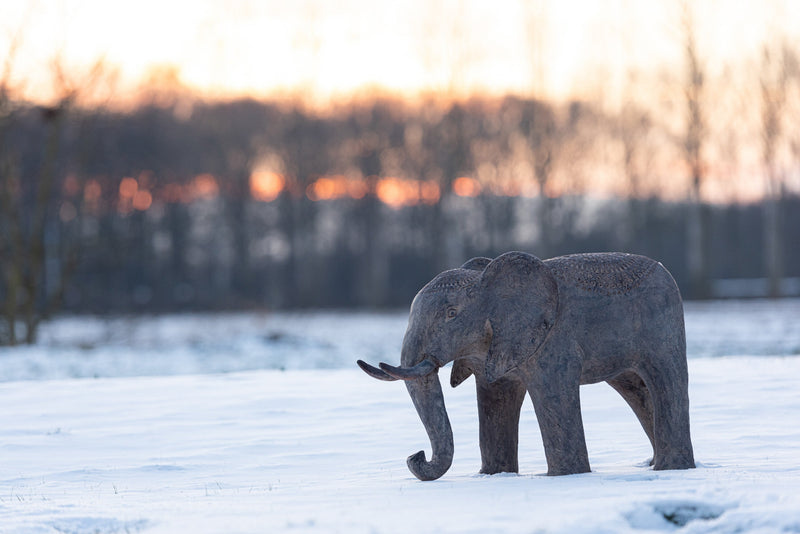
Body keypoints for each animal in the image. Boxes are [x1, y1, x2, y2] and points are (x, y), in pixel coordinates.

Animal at [360, 251, 696, 482]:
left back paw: (673, 468)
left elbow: (553, 397)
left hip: (663, 324)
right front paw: (494, 476)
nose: (415, 456)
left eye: (451, 314)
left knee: (667, 381)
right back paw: (655, 465)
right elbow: (495, 400)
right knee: (635, 387)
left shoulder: (553, 341)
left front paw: (568, 476)